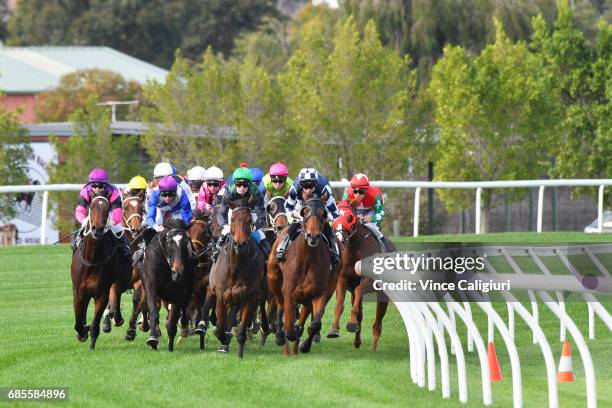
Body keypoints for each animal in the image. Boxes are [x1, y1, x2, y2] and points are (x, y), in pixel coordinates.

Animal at [72, 196, 133, 350]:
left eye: (107, 209)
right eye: (92, 207)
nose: (98, 229)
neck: (91, 260)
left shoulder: (101, 293)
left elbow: (95, 324)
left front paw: (91, 343)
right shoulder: (78, 292)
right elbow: (78, 321)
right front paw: (82, 332)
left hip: (122, 280)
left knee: (116, 293)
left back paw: (117, 318)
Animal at [140, 220, 195, 350]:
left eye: (186, 241)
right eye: (170, 242)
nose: (178, 272)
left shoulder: (179, 293)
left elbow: (172, 321)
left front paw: (170, 346)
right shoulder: (151, 286)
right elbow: (154, 313)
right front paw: (152, 339)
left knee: (183, 311)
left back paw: (184, 328)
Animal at [208, 203, 268, 356]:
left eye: (249, 220)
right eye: (232, 219)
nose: (239, 243)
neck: (235, 267)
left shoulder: (249, 297)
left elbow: (242, 330)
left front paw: (240, 352)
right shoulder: (221, 297)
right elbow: (219, 329)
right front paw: (224, 342)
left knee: (262, 303)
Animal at [266, 198, 340, 354]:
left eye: (323, 213)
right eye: (304, 212)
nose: (313, 236)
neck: (307, 259)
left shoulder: (318, 293)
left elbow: (315, 323)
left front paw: (304, 344)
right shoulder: (289, 292)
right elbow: (289, 328)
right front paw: (285, 334)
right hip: (273, 277)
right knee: (280, 304)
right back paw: (280, 334)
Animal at [328, 204, 394, 350]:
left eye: (349, 218)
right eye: (334, 218)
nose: (340, 239)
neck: (354, 248)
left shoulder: (367, 280)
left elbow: (359, 290)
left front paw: (351, 324)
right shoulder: (342, 279)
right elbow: (340, 304)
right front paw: (334, 329)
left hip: (383, 294)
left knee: (377, 323)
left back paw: (373, 349)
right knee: (360, 313)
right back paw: (357, 341)